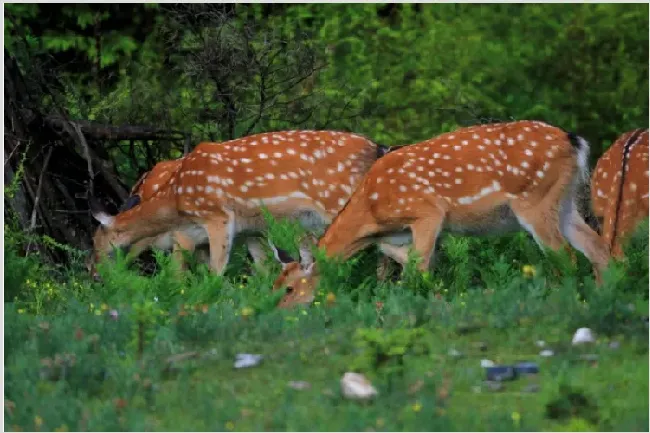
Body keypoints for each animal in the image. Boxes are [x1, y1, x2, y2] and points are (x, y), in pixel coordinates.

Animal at [88, 129, 408, 276]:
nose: (94, 275)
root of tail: (377, 147)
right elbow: (262, 267)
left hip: (339, 199)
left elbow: (214, 270)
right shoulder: (250, 229)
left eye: (99, 244)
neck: (176, 198)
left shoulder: (217, 216)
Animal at [270, 119, 612, 308]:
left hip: (534, 198)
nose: (279, 312)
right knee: (597, 249)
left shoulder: (426, 213)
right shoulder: (398, 235)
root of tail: (574, 141)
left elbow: (418, 270)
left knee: (566, 255)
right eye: (274, 285)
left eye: (289, 288)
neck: (371, 209)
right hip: (564, 201)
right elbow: (412, 265)